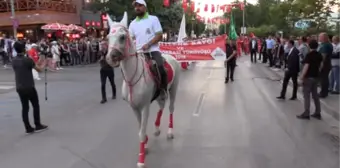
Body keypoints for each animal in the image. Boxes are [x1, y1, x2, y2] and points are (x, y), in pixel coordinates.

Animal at [105, 12, 181, 167]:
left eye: (122, 37)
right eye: (108, 37)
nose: (110, 58)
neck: (132, 79)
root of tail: (172, 57)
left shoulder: (145, 106)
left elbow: (141, 132)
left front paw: (141, 160)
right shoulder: (134, 108)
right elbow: (140, 129)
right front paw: (145, 144)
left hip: (173, 89)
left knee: (170, 108)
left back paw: (170, 131)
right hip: (160, 94)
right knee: (161, 106)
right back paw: (157, 128)